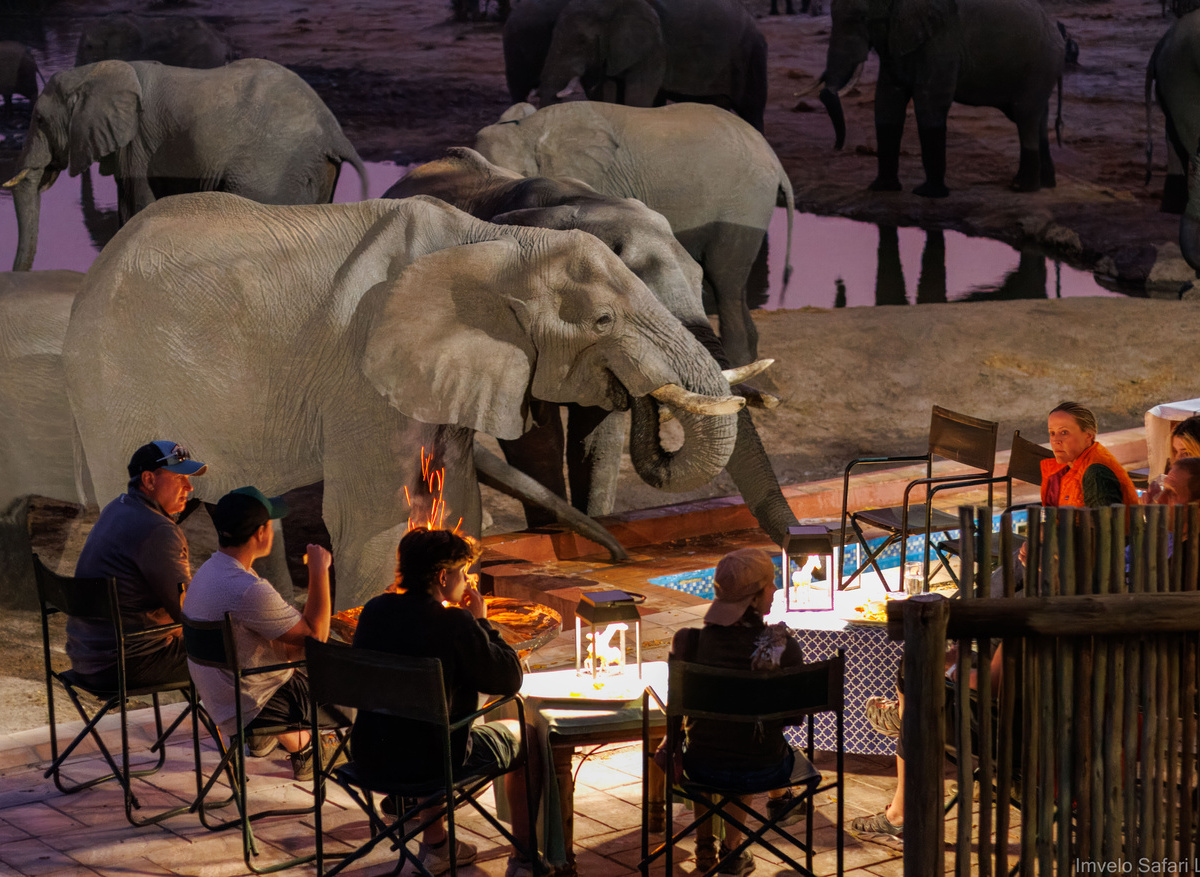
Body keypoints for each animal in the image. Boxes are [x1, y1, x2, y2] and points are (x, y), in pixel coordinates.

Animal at [4, 59, 369, 271]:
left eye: (39, 120)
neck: (93, 71)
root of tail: (334, 132)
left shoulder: (138, 144)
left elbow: (135, 208)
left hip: (270, 171)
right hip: (314, 173)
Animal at [63, 192, 746, 609]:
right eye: (603, 320)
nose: (620, 558)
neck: (496, 242)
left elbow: (458, 501)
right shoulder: (361, 365)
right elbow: (376, 514)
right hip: (107, 383)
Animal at [534, 0, 768, 131]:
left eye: (582, 41)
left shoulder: (654, 47)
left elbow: (638, 95)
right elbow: (608, 91)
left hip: (752, 57)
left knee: (752, 111)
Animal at [819, 0, 1064, 197]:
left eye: (862, 18)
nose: (836, 147)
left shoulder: (943, 40)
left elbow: (930, 103)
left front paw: (928, 194)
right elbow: (888, 101)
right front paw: (882, 188)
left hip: (1040, 65)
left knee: (1025, 115)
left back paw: (1024, 188)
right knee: (1037, 118)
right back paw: (1042, 184)